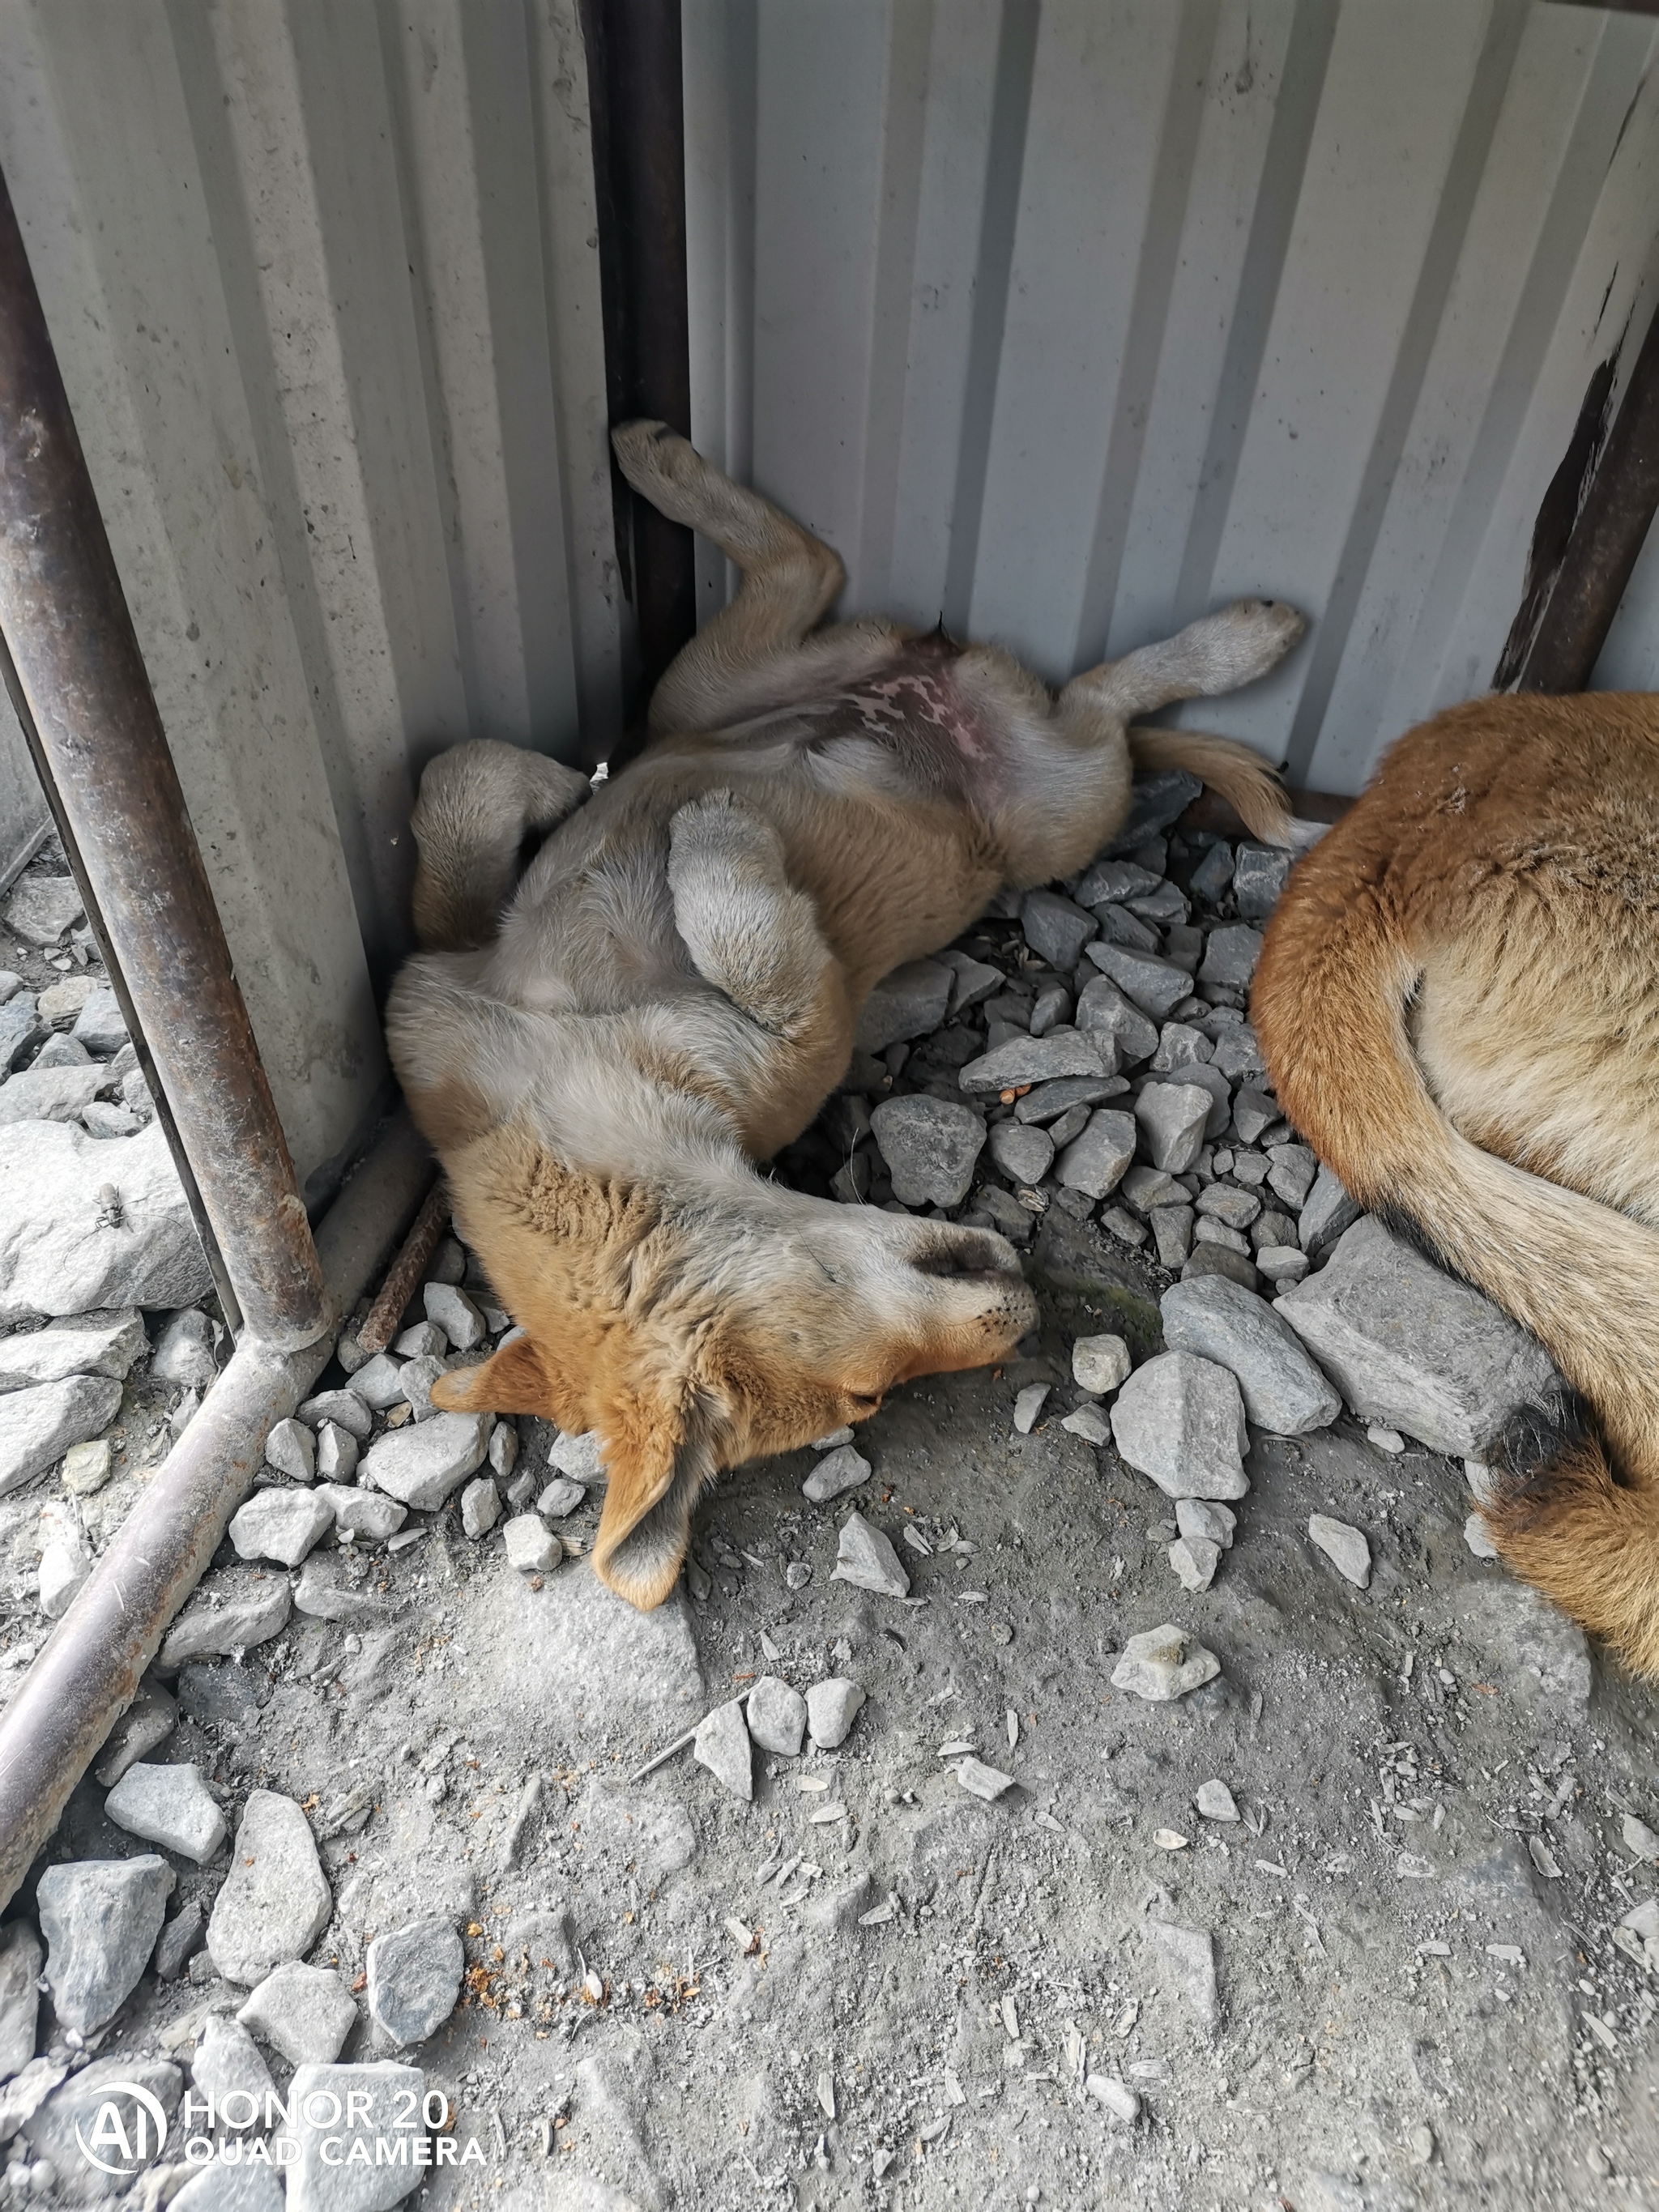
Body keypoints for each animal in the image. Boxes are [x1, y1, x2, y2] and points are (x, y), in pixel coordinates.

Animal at [386, 421, 1305, 1610]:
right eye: (867, 1396)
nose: (1026, 1313)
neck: (563, 1115)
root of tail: (933, 688)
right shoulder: (791, 1032)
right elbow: (480, 804)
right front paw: (683, 826)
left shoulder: (449, 982)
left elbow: (455, 782)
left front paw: (610, 800)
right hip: (1026, 789)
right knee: (1057, 679)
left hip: (742, 709)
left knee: (874, 593)